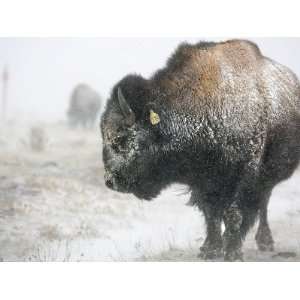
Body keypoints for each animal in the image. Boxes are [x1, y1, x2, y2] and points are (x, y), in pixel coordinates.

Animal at [101, 39, 300, 260]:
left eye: (120, 139)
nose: (110, 181)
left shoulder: (245, 172)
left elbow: (234, 212)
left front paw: (233, 253)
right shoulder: (204, 180)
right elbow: (211, 214)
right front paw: (210, 249)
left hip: (269, 176)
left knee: (263, 203)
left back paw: (265, 242)